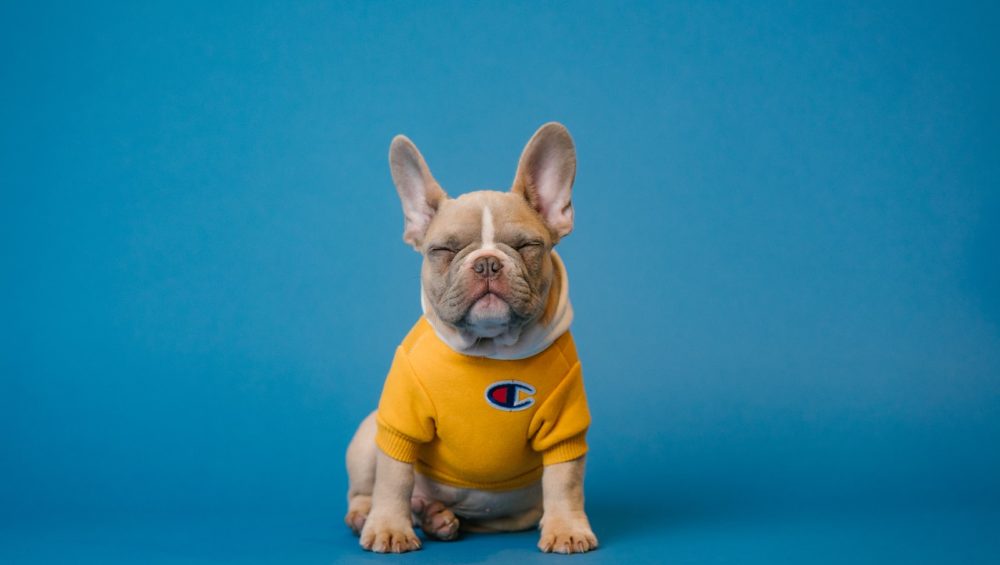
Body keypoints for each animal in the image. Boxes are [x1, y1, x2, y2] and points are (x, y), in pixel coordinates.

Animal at [346, 122, 592, 552]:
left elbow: (565, 481)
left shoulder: (565, 425)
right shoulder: (400, 420)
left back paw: (436, 517)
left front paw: (567, 528)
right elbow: (393, 478)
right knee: (365, 490)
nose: (488, 262)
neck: (490, 349)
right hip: (367, 434)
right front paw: (389, 527)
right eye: (444, 250)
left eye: (528, 246)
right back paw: (372, 515)